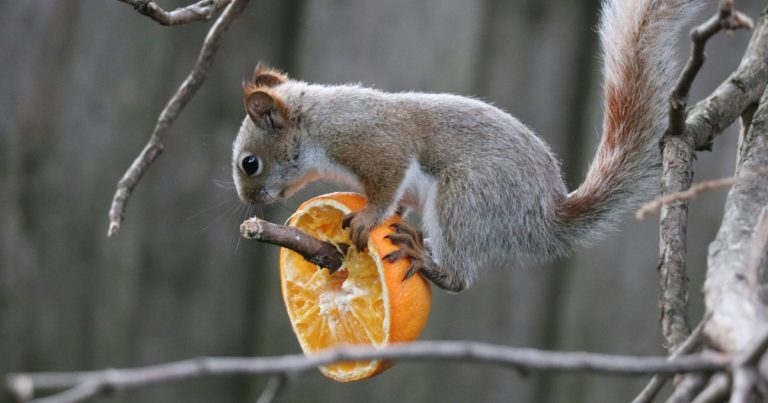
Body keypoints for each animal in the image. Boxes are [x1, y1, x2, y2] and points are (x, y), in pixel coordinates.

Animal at [232, 0, 700, 292]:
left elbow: (386, 184)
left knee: (459, 276)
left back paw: (429, 262)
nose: (249, 201)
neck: (314, 122)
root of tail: (543, 215)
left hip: (467, 195)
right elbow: (399, 201)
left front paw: (367, 219)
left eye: (249, 163)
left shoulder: (371, 140)